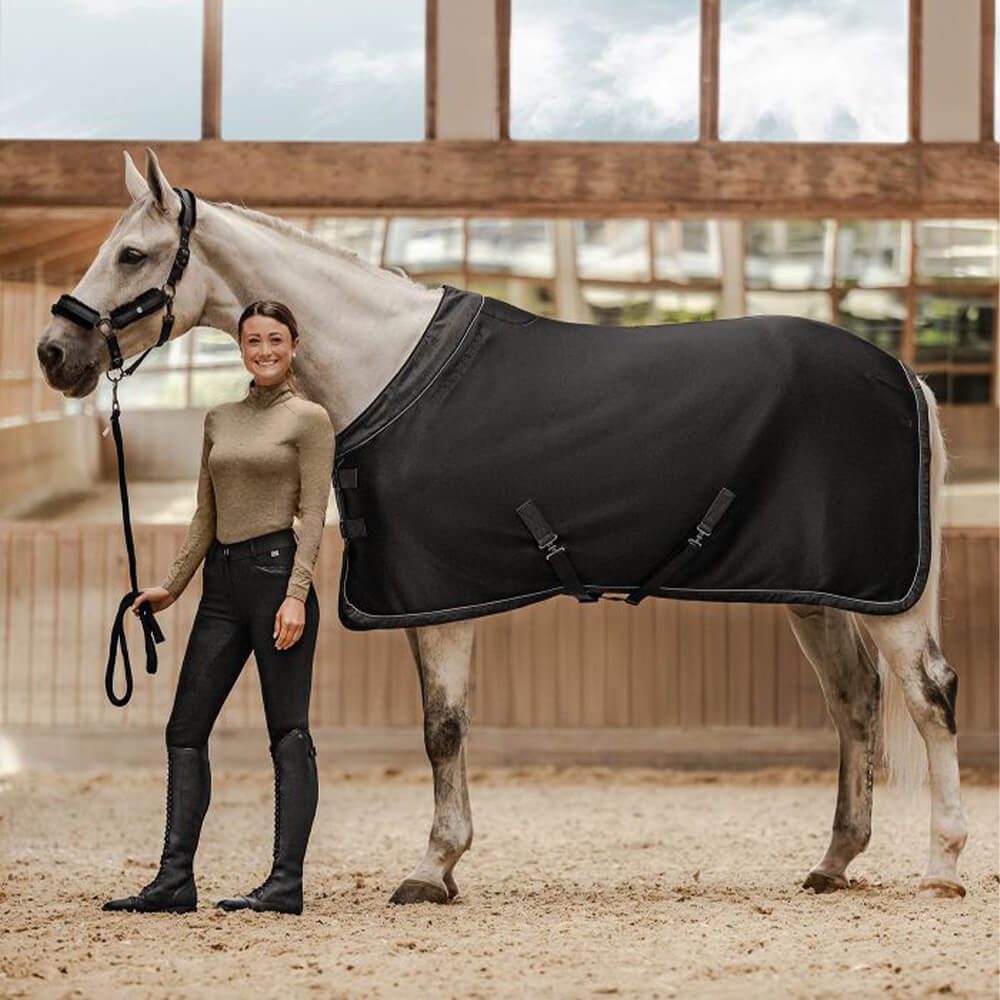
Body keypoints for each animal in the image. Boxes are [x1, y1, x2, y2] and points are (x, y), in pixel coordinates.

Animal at [36, 147, 968, 904]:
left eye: (131, 253)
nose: (52, 353)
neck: (387, 367)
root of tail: (905, 377)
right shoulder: (433, 597)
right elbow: (442, 725)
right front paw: (443, 866)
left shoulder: (437, 595)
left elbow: (442, 727)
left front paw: (431, 868)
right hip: (820, 590)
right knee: (854, 701)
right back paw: (835, 862)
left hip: (890, 597)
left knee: (927, 696)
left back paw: (944, 867)